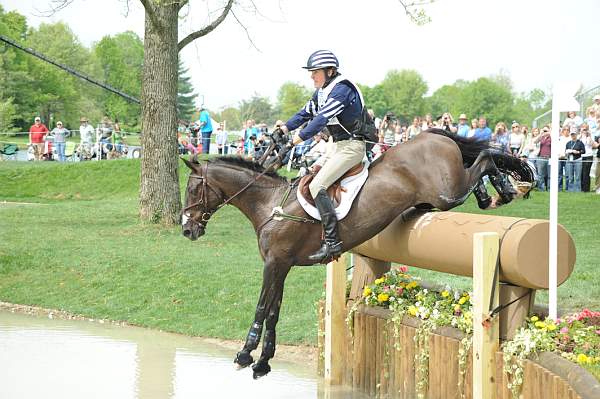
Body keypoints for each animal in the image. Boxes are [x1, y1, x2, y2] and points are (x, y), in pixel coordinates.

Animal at [179, 130, 536, 380]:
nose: (186, 229)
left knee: (484, 159)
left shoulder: (274, 263)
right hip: (441, 193)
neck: (270, 206)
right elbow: (273, 311)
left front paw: (244, 355)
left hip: (447, 192)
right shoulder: (281, 266)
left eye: (193, 189)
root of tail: (434, 135)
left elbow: (261, 308)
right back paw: (494, 193)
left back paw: (506, 186)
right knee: (476, 166)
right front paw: (263, 362)